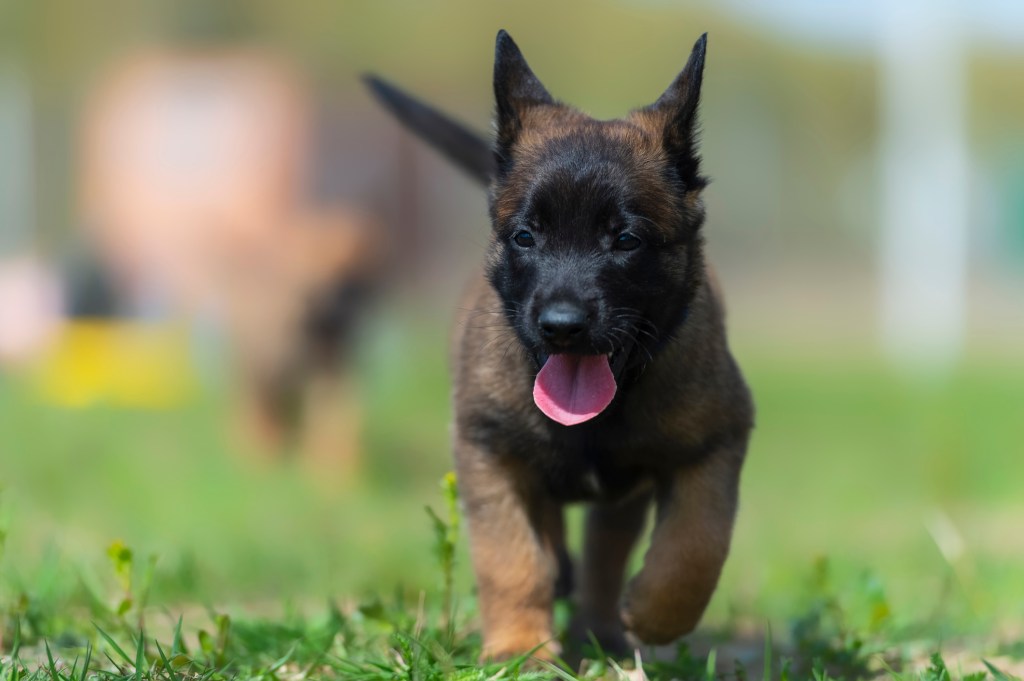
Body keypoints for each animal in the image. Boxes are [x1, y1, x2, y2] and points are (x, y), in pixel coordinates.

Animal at [368, 30, 753, 659]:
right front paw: (520, 648)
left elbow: (699, 544)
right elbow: (511, 560)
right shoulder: (488, 451)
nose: (562, 325)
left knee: (605, 554)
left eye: (626, 240)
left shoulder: (716, 440)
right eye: (526, 237)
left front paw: (655, 614)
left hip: (624, 496)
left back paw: (602, 629)